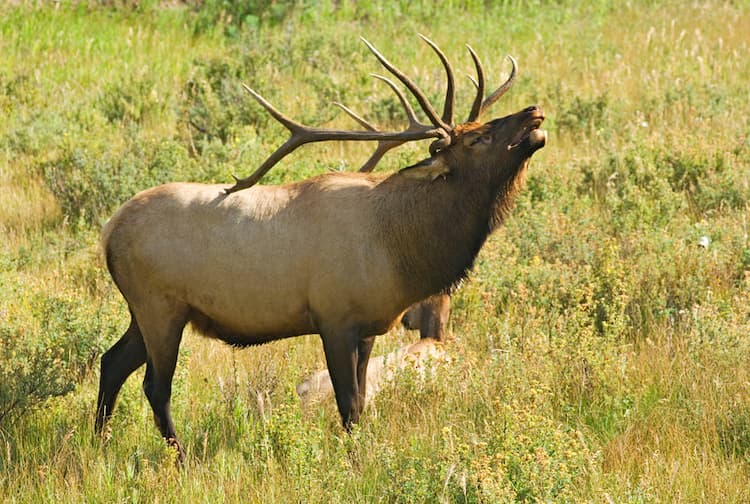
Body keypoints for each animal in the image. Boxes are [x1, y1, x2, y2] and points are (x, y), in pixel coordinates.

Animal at [97, 35, 548, 460]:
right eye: (477, 138)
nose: (534, 111)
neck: (401, 249)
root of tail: (108, 231)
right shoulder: (334, 318)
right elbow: (348, 403)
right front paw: (352, 461)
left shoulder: (368, 328)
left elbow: (362, 401)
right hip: (161, 306)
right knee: (155, 385)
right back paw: (180, 458)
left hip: (146, 311)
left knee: (111, 361)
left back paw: (97, 441)